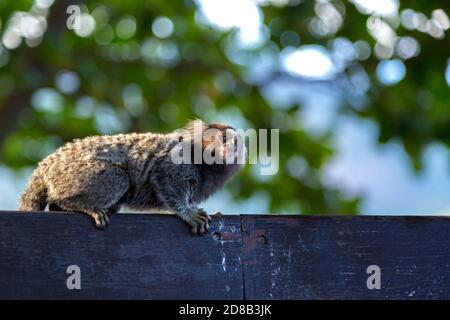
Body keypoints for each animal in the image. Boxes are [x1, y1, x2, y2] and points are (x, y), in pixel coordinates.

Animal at [17, 120, 244, 235]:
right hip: (70, 173)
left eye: (234, 142)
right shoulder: (178, 160)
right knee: (119, 177)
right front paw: (188, 212)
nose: (231, 146)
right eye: (223, 138)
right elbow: (166, 181)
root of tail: (46, 165)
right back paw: (80, 205)